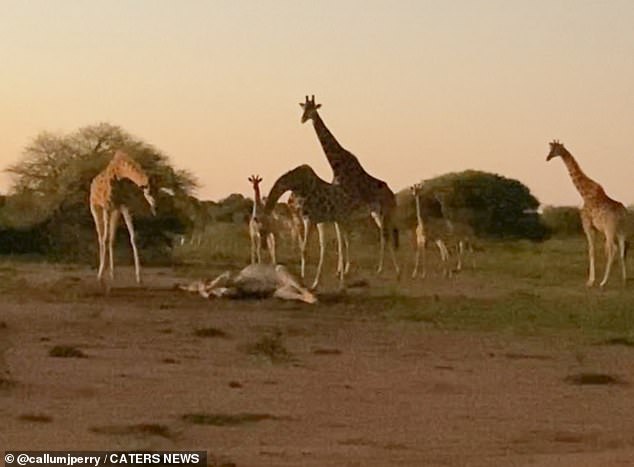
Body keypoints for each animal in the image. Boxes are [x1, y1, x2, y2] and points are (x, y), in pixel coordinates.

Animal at [89, 150, 156, 284]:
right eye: (150, 191)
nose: (155, 206)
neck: (120, 174)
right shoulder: (107, 207)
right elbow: (105, 238)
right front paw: (100, 274)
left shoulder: (124, 206)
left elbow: (133, 237)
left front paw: (139, 277)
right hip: (95, 207)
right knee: (101, 237)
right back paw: (101, 272)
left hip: (115, 211)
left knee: (111, 238)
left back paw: (112, 274)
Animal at [298, 95, 398, 278]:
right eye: (303, 108)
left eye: (313, 108)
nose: (303, 119)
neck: (336, 166)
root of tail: (394, 196)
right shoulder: (341, 212)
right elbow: (342, 241)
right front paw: (340, 269)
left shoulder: (345, 211)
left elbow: (344, 241)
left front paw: (345, 269)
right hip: (376, 213)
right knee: (385, 235)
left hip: (385, 212)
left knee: (385, 236)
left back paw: (383, 269)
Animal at [544, 139, 628, 288]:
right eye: (550, 149)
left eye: (554, 149)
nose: (547, 158)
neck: (584, 193)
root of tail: (622, 213)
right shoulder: (596, 228)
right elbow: (596, 250)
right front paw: (592, 280)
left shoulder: (587, 226)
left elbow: (591, 250)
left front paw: (590, 281)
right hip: (621, 229)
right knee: (622, 249)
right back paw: (624, 280)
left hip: (610, 229)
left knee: (613, 249)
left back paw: (603, 282)